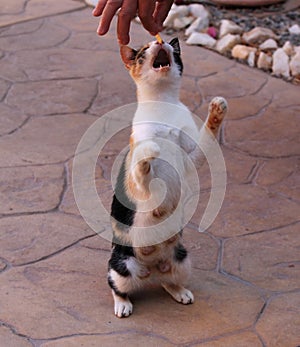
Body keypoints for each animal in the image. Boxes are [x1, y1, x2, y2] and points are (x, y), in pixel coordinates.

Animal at [108, 37, 227, 318]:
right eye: (143, 50)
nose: (158, 40)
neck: (163, 104)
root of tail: (149, 268)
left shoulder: (192, 155)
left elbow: (207, 137)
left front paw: (217, 110)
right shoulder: (137, 175)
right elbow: (143, 166)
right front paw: (150, 151)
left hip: (182, 258)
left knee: (168, 280)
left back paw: (179, 291)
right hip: (121, 264)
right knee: (117, 286)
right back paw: (122, 304)